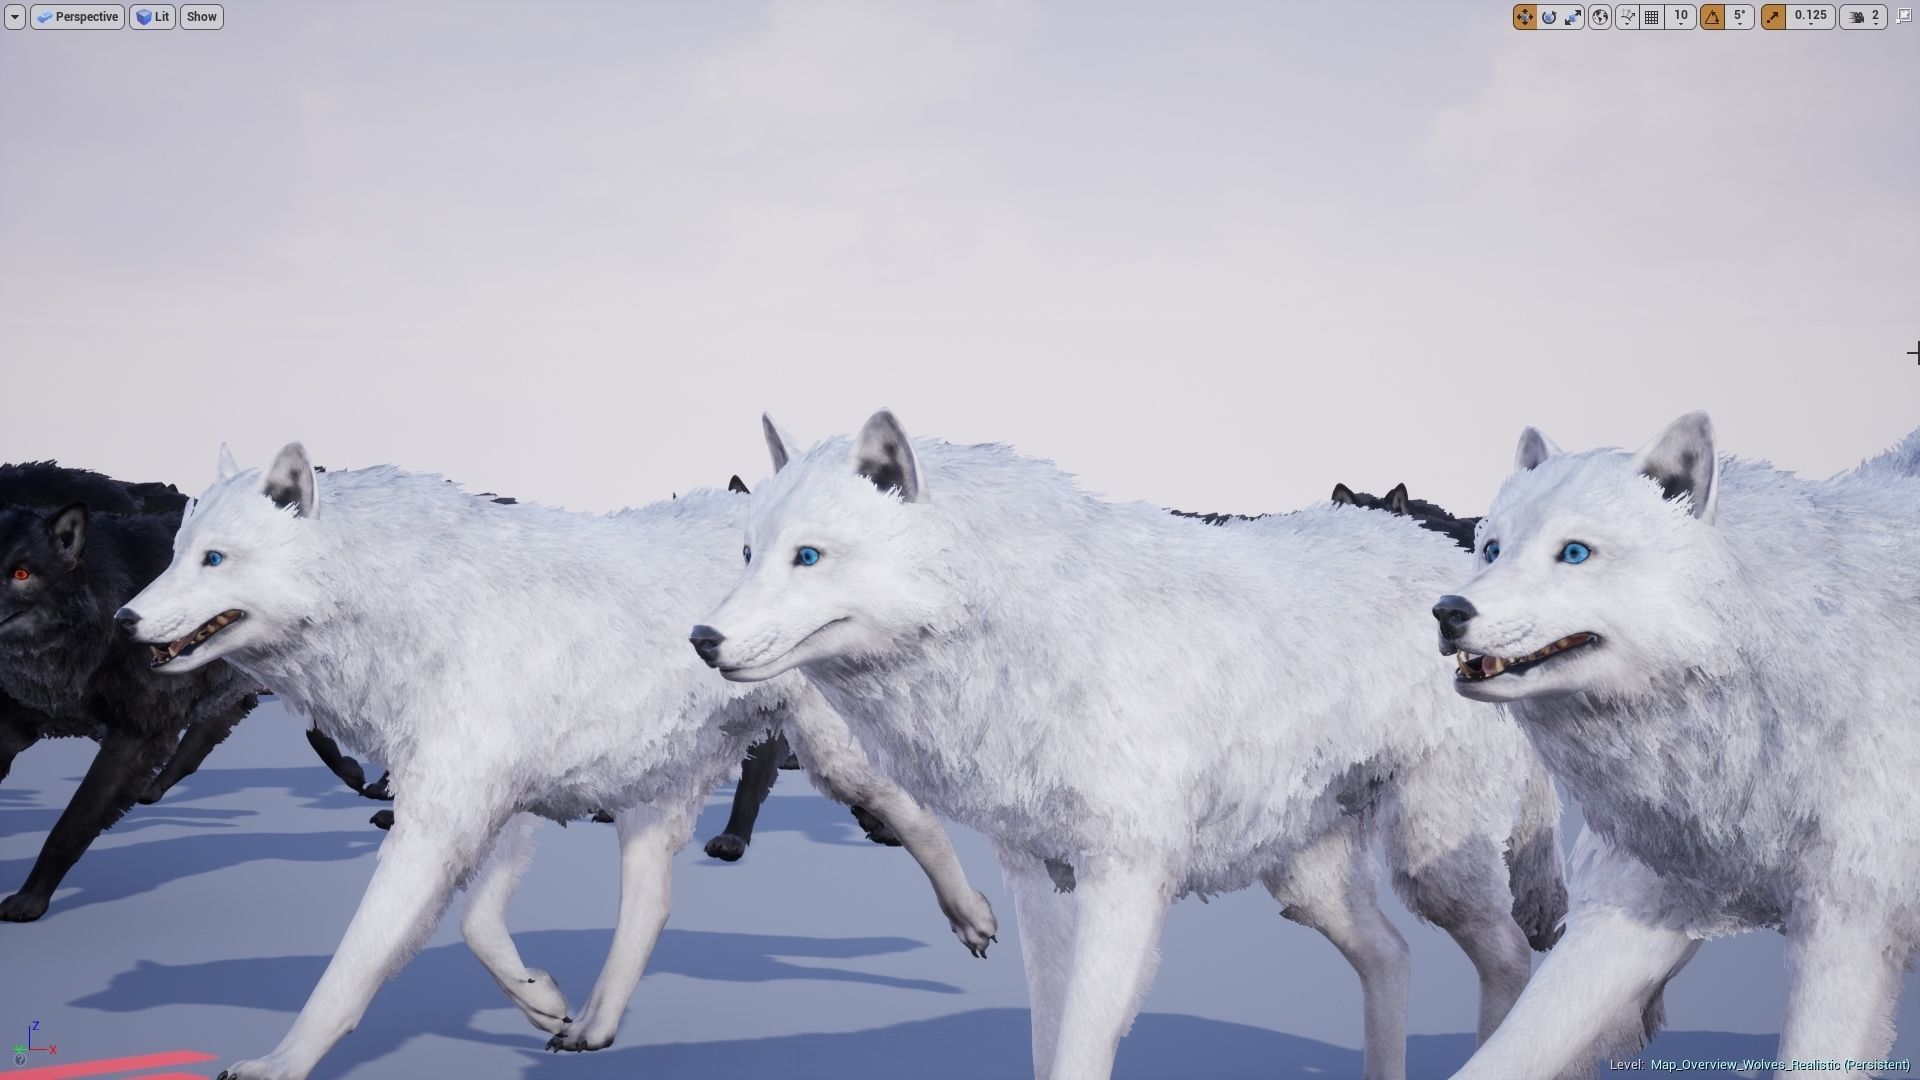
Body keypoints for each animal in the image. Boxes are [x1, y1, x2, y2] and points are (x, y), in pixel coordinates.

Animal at [117, 442, 995, 1080]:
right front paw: (541, 999)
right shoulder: (500, 803)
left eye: (214, 560)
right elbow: (476, 926)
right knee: (650, 908)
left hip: (833, 758)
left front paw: (280, 1064)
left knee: (913, 813)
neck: (404, 598)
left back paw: (972, 915)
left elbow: (352, 965)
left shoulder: (443, 815)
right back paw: (597, 1024)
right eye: (177, 552)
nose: (123, 621)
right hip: (652, 793)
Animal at [693, 410, 1567, 1080]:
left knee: (1509, 959)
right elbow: (1048, 1041)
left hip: (1432, 861)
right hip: (1308, 879)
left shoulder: (1126, 875)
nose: (702, 639)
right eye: (748, 553)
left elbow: (1083, 1044)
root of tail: (1447, 558)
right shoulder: (1038, 873)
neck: (1024, 629)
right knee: (1391, 955)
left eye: (809, 556)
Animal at [1434, 414, 1920, 1079]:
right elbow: (1512, 1049)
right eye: (1492, 549)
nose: (1446, 611)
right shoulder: (1636, 901)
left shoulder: (1850, 923)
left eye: (1575, 552)